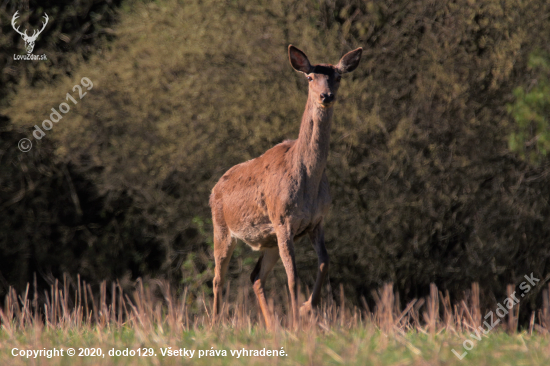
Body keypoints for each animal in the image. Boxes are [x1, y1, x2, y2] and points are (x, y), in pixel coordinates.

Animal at [210, 43, 362, 328]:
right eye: (310, 77)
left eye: (338, 76)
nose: (326, 95)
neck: (309, 185)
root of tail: (214, 188)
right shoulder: (283, 221)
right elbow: (293, 277)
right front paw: (297, 318)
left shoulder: (316, 221)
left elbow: (325, 263)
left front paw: (305, 309)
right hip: (222, 228)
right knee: (218, 278)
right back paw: (214, 325)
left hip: (268, 241)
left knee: (255, 277)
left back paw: (272, 326)